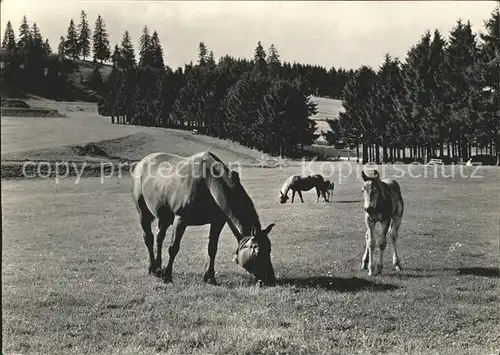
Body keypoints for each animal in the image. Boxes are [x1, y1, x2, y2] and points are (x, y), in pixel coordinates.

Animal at [133, 150, 278, 286]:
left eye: (270, 249)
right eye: (257, 251)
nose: (271, 279)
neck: (208, 182)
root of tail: (142, 162)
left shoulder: (217, 222)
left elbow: (212, 249)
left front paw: (210, 277)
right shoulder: (180, 219)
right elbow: (173, 248)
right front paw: (167, 276)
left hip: (164, 217)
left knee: (159, 238)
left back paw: (158, 269)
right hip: (143, 214)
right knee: (149, 238)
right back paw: (152, 268)